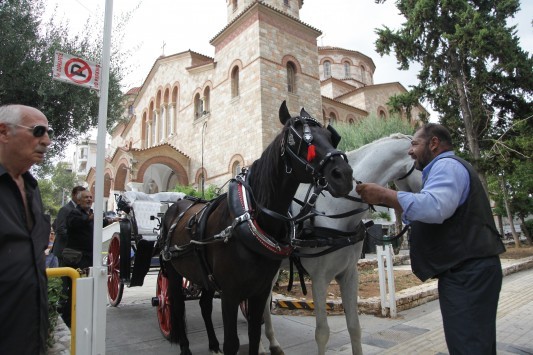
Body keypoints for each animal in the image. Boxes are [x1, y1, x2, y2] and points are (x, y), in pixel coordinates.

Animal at [158, 101, 354, 354]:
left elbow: (253, 334)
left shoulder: (259, 291)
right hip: (173, 272)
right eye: (302, 139)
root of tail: (177, 205)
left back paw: (212, 343)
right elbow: (233, 343)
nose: (344, 175)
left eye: (331, 137)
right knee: (177, 306)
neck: (250, 218)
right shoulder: (231, 293)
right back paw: (185, 347)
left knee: (204, 304)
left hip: (204, 276)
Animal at [260, 134, 422, 355]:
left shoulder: (349, 274)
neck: (335, 209)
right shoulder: (319, 278)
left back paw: (273, 343)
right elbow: (322, 333)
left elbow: (354, 327)